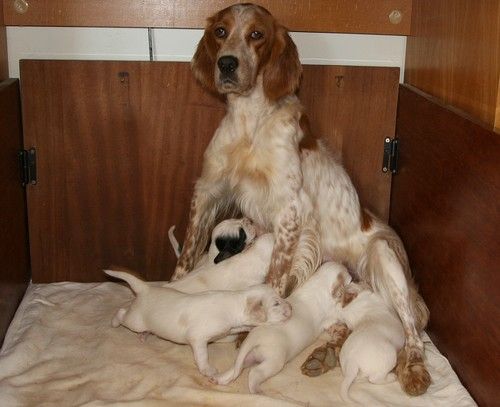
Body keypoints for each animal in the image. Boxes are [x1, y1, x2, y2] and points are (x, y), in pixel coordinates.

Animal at [105, 269, 292, 377]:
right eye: (276, 304)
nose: (291, 308)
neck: (235, 302)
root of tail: (145, 288)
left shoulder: (228, 330)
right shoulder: (198, 338)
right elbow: (202, 355)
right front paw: (207, 370)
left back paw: (144, 336)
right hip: (135, 320)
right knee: (122, 313)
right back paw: (114, 322)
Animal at [211, 262, 351, 393]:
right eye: (348, 275)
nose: (353, 276)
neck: (319, 283)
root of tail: (254, 338)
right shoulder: (330, 316)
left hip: (248, 358)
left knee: (236, 369)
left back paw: (219, 378)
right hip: (273, 362)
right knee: (254, 373)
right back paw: (257, 391)